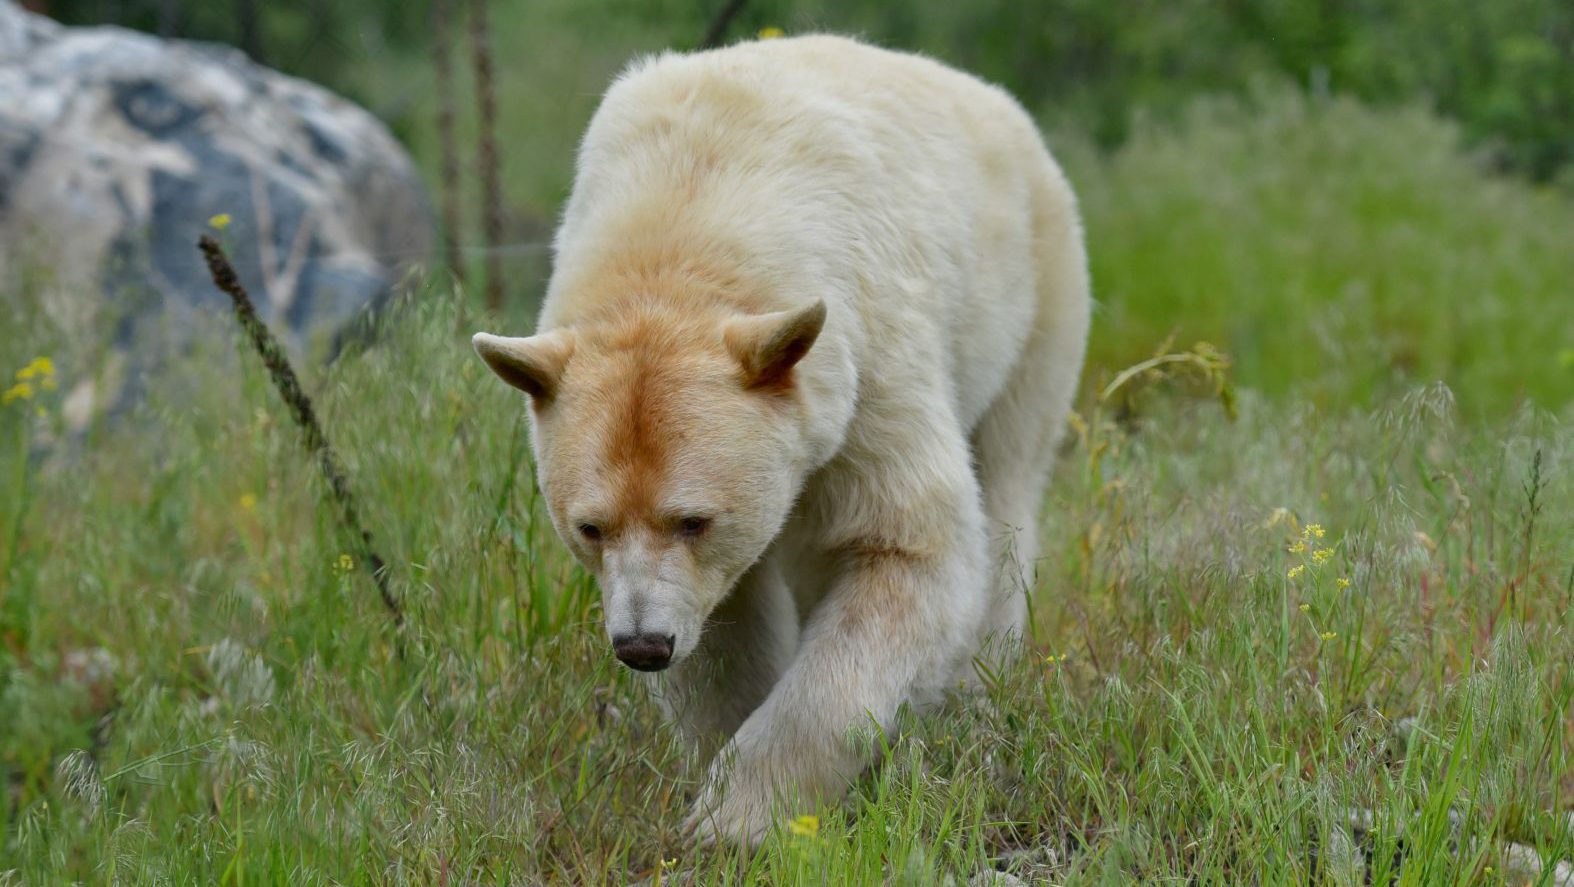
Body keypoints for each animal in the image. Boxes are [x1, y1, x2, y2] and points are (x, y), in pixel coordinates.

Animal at [472, 34, 1090, 846]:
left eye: (694, 518)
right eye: (589, 526)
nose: (642, 645)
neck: (690, 202)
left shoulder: (866, 356)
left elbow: (907, 545)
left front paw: (739, 817)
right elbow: (725, 629)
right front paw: (719, 775)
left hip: (1029, 301)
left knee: (1007, 490)